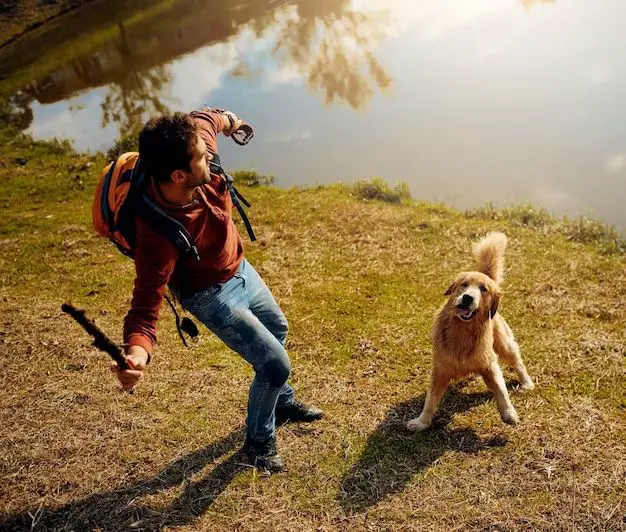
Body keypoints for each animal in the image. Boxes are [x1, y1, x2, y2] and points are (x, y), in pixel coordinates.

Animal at [404, 233, 532, 432]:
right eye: (464, 285)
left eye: (483, 289)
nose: (468, 297)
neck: (463, 331)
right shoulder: (440, 371)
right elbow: (430, 401)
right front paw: (421, 422)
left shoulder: (490, 365)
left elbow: (502, 391)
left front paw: (509, 413)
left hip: (504, 346)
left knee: (518, 362)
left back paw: (527, 382)